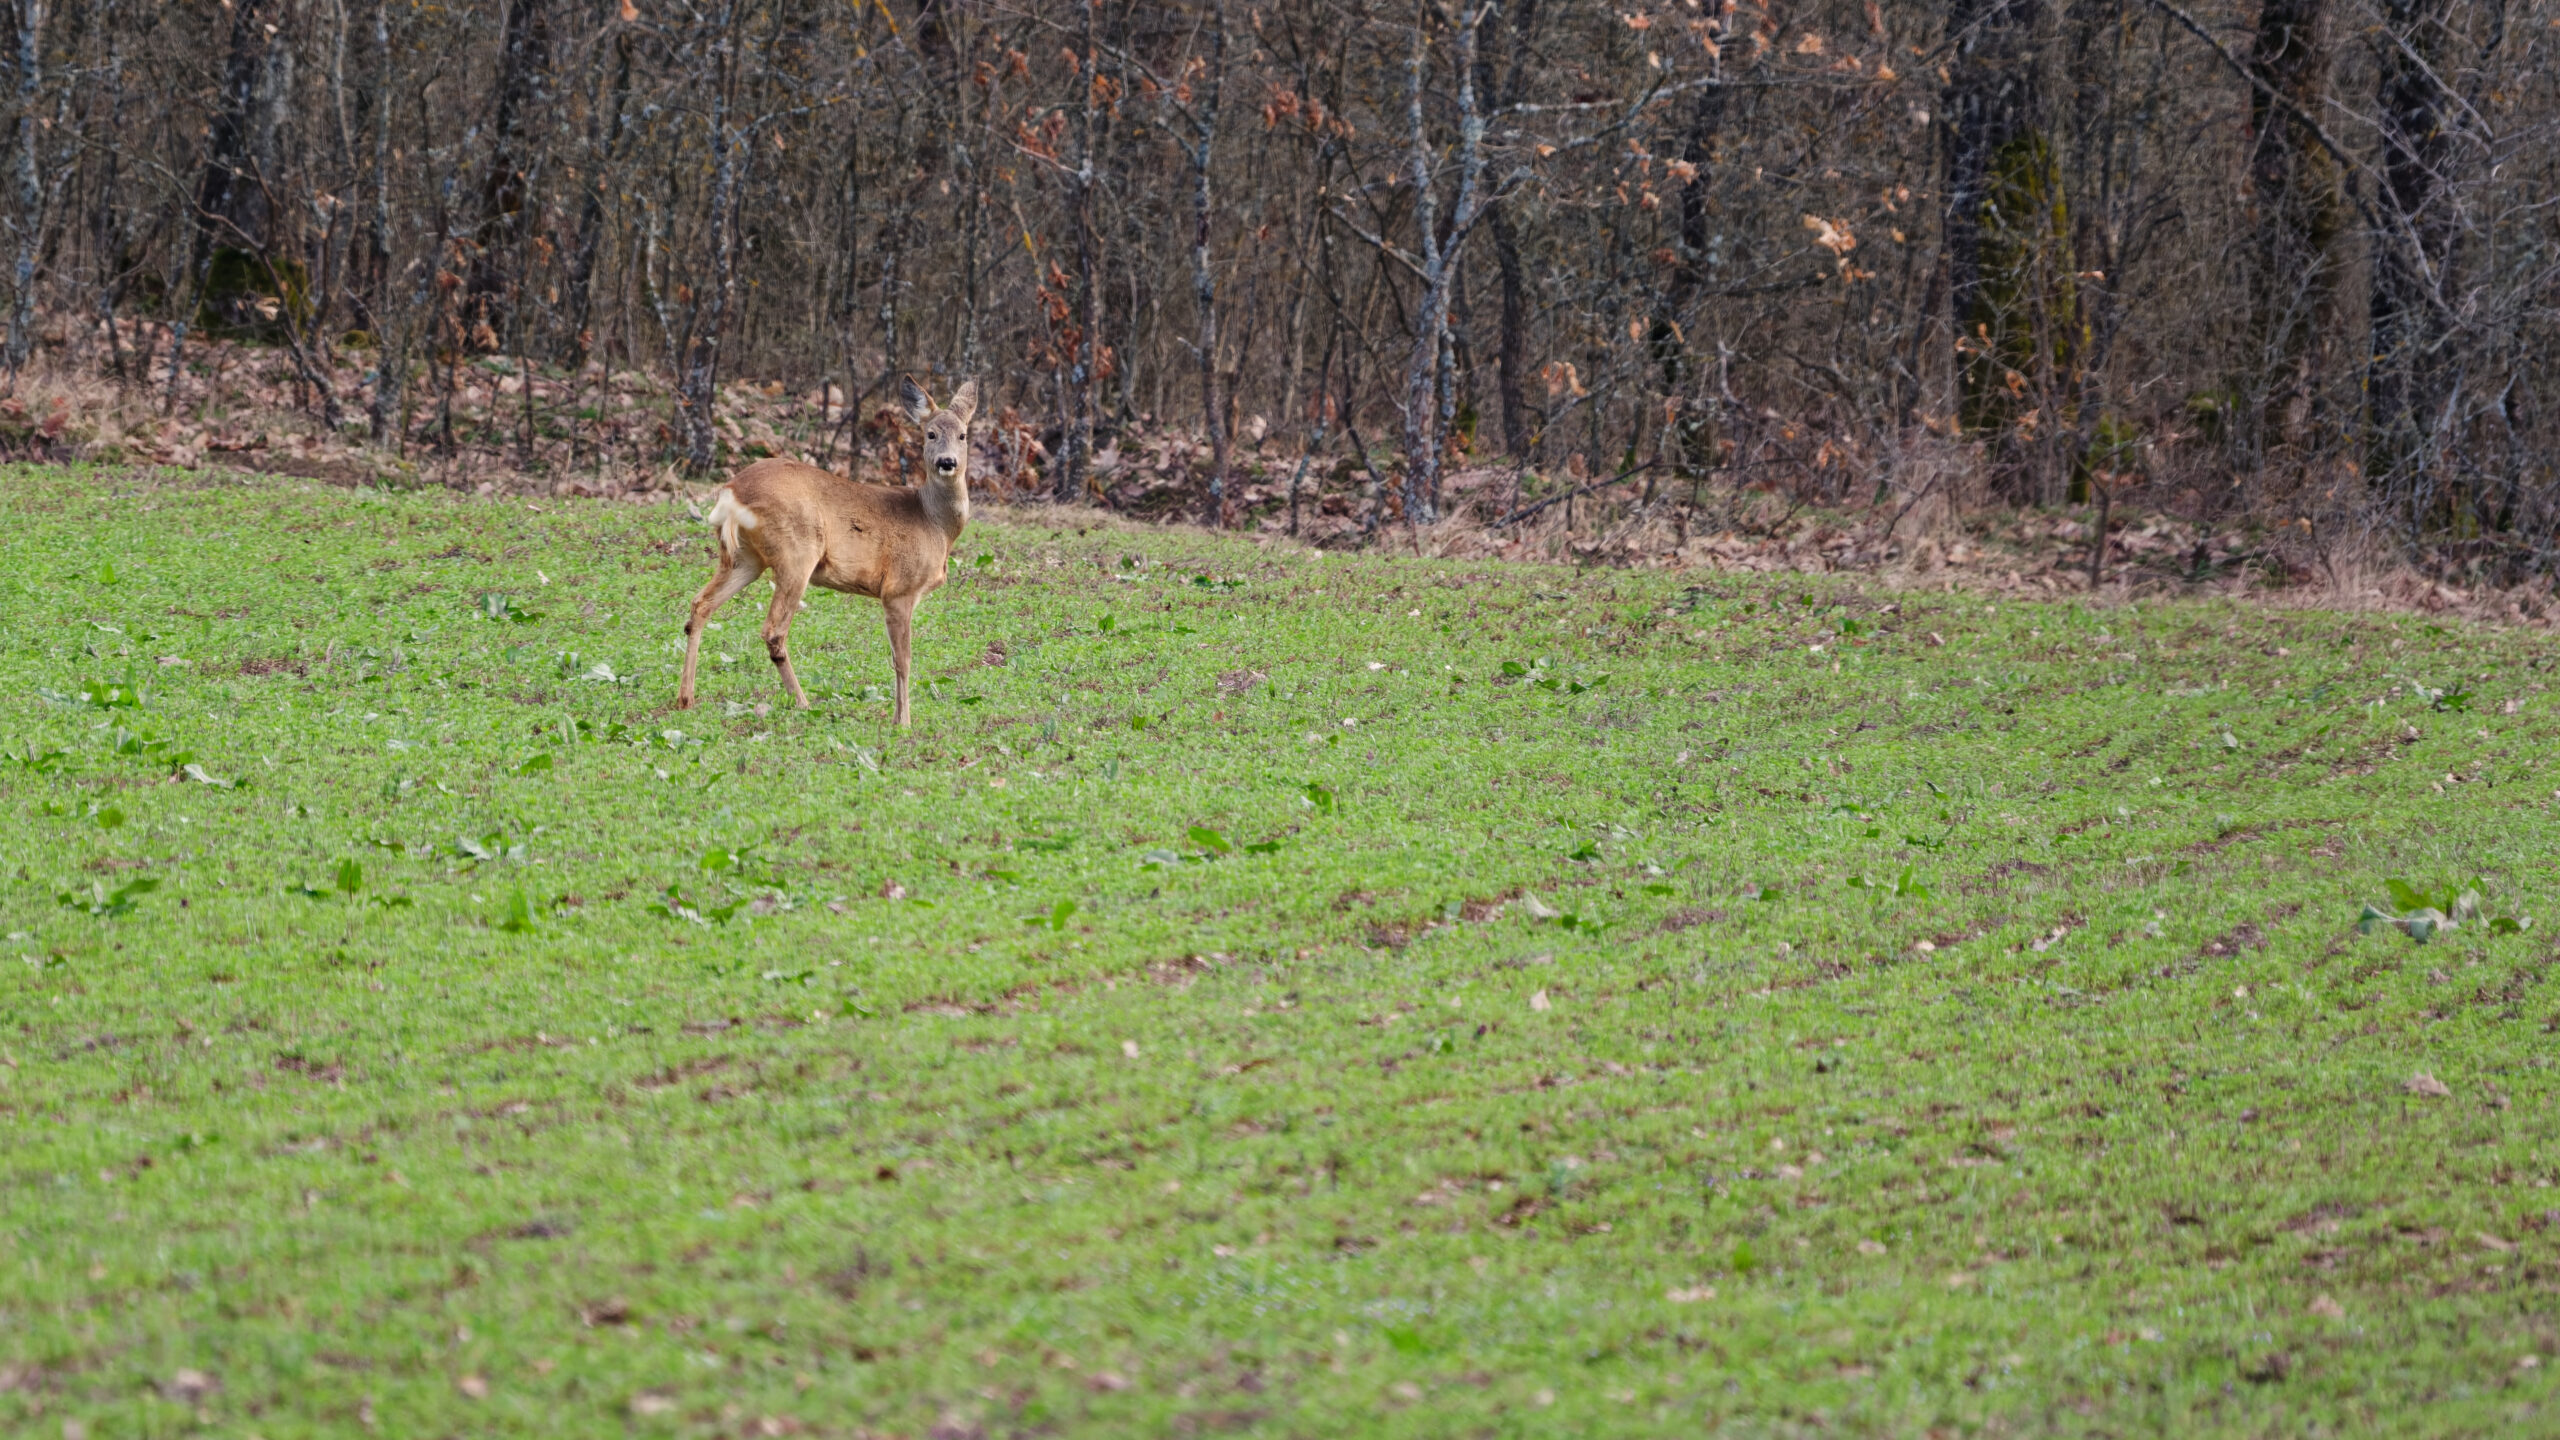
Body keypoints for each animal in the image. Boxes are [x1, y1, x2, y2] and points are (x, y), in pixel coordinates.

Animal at [678, 376, 977, 725]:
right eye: (930, 433)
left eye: (962, 434)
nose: (947, 462)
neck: (933, 522)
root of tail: (730, 493)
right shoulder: (899, 588)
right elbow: (903, 660)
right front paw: (902, 722)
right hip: (797, 553)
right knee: (773, 631)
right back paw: (804, 703)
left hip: (743, 558)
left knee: (700, 605)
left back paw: (686, 699)